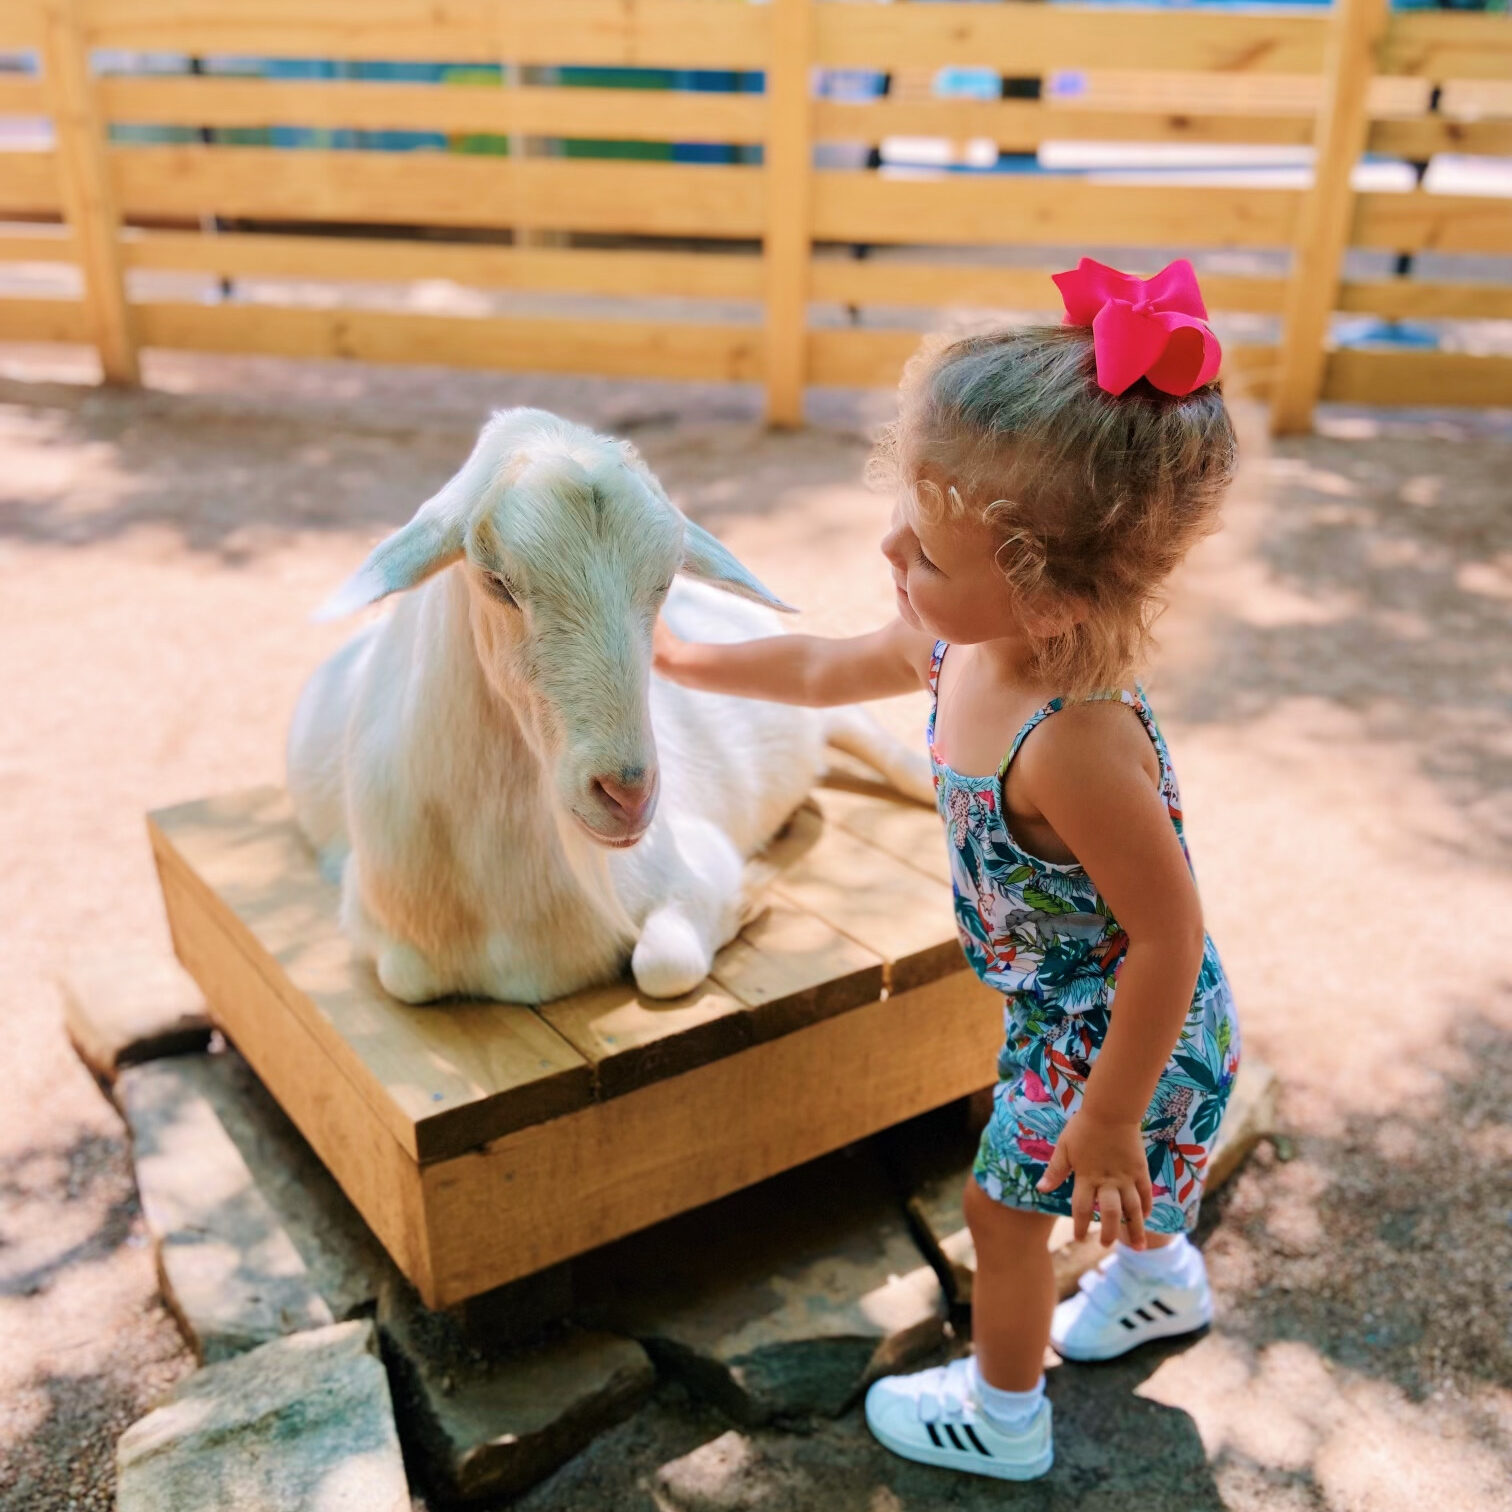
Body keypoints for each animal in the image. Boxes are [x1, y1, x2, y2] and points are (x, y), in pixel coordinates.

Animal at [287, 408, 925, 1010]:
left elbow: (664, 964)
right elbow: (406, 977)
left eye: (665, 578)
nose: (627, 795)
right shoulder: (375, 922)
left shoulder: (699, 864)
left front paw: (749, 898)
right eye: (496, 579)